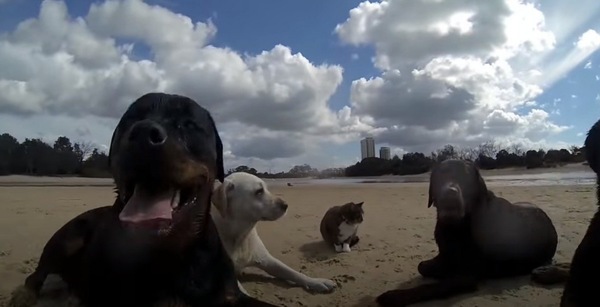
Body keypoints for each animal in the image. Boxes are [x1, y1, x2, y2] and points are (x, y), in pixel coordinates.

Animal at [9, 92, 278, 306]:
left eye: (189, 124)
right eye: (130, 120)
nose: (142, 132)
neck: (166, 253)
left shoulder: (226, 293)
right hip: (69, 237)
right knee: (36, 275)